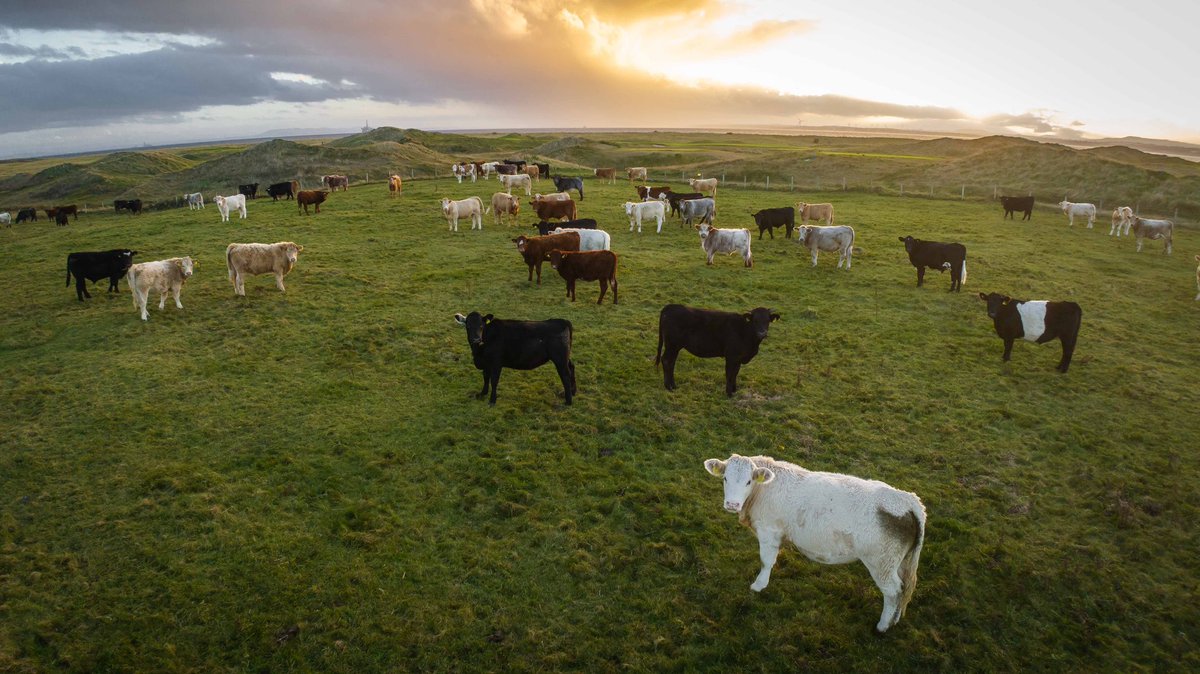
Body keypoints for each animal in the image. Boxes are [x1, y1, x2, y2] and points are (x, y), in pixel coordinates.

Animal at [700, 453, 926, 633]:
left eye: (748, 482)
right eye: (726, 478)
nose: (732, 504)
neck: (764, 490)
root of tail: (908, 500)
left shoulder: (768, 531)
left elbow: (766, 561)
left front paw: (758, 585)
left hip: (882, 563)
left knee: (893, 591)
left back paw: (883, 626)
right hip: (900, 561)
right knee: (904, 587)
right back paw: (895, 619)